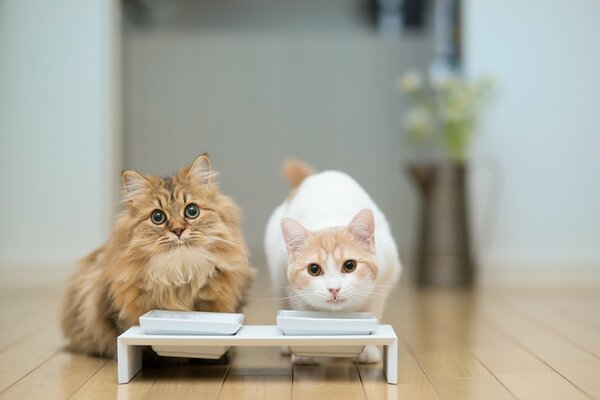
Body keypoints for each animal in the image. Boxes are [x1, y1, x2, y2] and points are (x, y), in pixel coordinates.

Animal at [264, 159, 400, 362]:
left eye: (349, 265)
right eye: (313, 269)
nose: (334, 289)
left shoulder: (384, 279)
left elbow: (372, 313)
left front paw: (367, 349)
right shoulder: (290, 286)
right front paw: (304, 353)